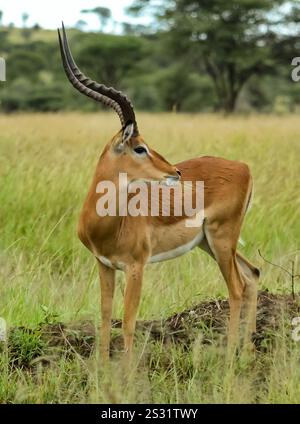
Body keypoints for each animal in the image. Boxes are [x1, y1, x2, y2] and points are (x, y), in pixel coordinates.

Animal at [58, 25, 258, 362]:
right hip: (210, 243)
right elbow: (104, 316)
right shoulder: (104, 264)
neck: (108, 222)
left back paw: (230, 358)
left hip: (221, 240)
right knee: (253, 274)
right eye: (140, 147)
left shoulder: (136, 267)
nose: (174, 172)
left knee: (237, 289)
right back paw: (246, 353)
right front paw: (101, 368)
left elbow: (127, 322)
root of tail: (244, 167)